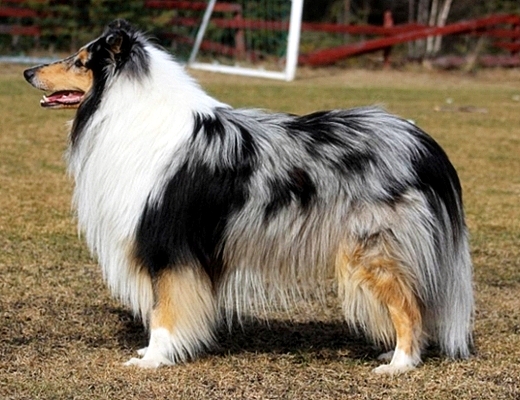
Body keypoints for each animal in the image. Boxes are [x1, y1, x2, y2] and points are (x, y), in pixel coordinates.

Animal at [23, 19, 473, 374]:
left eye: (81, 60)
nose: (27, 71)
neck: (123, 107)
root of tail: (423, 143)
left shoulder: (167, 245)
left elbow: (163, 311)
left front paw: (153, 358)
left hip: (373, 250)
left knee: (409, 306)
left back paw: (399, 363)